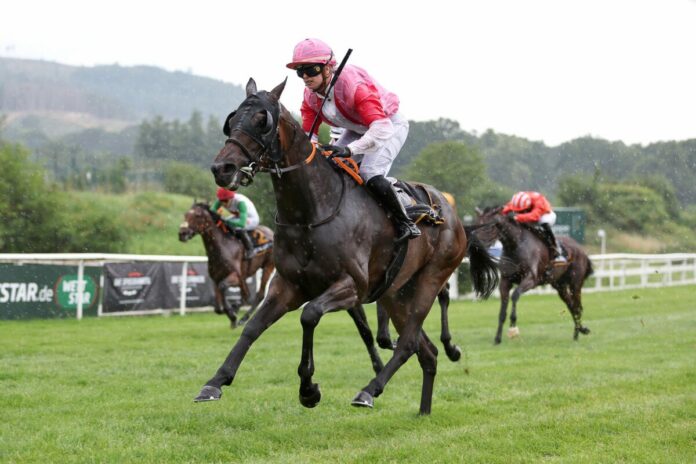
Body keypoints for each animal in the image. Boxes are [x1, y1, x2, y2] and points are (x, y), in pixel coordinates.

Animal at [196, 78, 498, 416]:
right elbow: (252, 328)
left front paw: (308, 389)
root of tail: (453, 217)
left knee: (408, 343)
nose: (222, 167)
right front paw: (215, 381)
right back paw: (423, 410)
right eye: (233, 119)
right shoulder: (287, 286)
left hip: (430, 279)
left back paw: (369, 390)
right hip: (396, 293)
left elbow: (309, 315)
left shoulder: (351, 286)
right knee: (427, 352)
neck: (311, 212)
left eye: (263, 120)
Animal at [476, 207, 596, 344]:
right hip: (559, 285)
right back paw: (578, 332)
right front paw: (497, 338)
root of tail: (581, 250)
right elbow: (502, 311)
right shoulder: (505, 281)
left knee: (577, 306)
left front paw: (513, 325)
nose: (475, 244)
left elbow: (515, 295)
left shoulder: (531, 279)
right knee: (571, 305)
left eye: (487, 226)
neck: (515, 245)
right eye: (476, 224)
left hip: (575, 283)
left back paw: (580, 331)